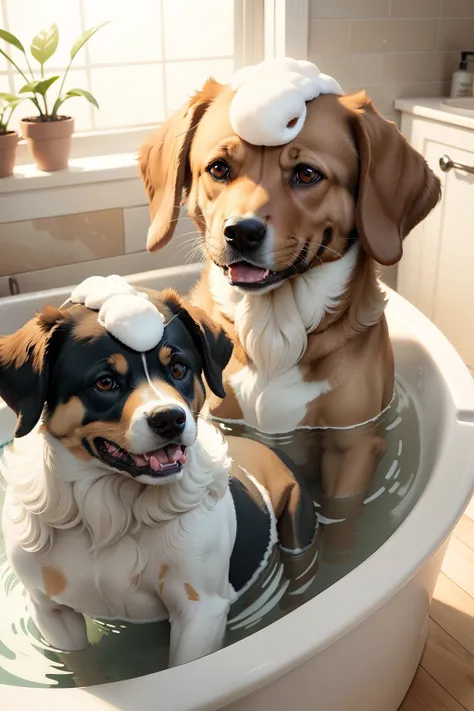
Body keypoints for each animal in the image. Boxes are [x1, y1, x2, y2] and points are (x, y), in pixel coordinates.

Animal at [138, 78, 440, 500]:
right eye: (218, 168)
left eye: (307, 174)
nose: (240, 232)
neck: (273, 325)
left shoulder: (353, 445)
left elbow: (341, 512)